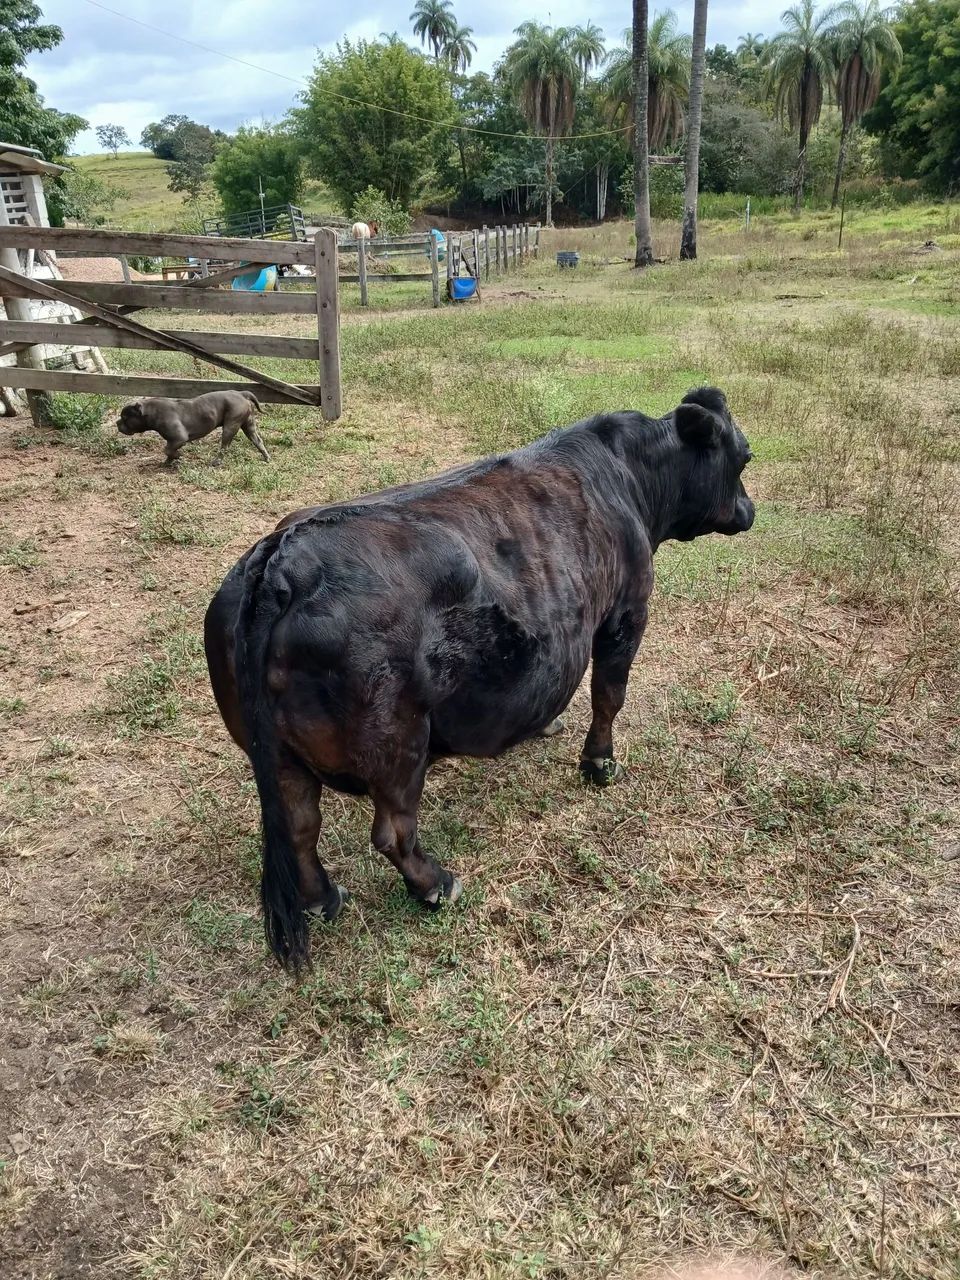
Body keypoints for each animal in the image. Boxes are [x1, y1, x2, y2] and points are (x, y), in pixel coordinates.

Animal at [204, 387, 755, 971]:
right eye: (744, 457)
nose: (750, 510)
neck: (629, 477)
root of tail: (283, 560)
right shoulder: (626, 612)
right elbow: (609, 696)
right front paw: (599, 764)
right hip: (397, 742)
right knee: (392, 830)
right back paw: (435, 885)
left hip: (277, 753)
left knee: (301, 826)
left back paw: (324, 900)